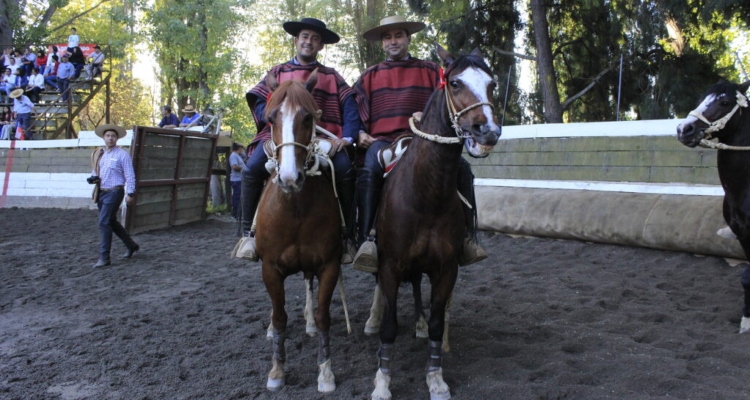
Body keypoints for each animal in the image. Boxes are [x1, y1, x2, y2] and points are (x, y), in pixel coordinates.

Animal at [256, 70, 344, 392]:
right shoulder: (270, 268)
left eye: (307, 118)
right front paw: (277, 370)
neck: (294, 209)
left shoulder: (329, 265)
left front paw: (326, 371)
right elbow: (280, 316)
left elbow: (323, 316)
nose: (290, 178)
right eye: (271, 119)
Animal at [374, 43, 502, 400]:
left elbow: (435, 322)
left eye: (492, 85)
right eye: (455, 83)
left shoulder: (446, 269)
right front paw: (382, 381)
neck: (425, 196)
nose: (487, 132)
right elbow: (389, 327)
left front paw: (435, 378)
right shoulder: (390, 266)